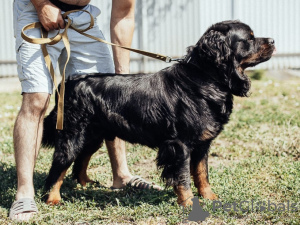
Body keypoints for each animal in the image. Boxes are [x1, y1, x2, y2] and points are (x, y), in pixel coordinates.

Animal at [42, 20, 276, 207]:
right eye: (249, 38)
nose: (273, 40)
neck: (205, 77)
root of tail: (69, 82)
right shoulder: (180, 145)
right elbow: (183, 176)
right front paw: (189, 203)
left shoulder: (202, 144)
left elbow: (202, 173)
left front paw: (209, 196)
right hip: (72, 135)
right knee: (58, 166)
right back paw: (53, 198)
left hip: (93, 135)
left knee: (81, 159)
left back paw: (84, 184)